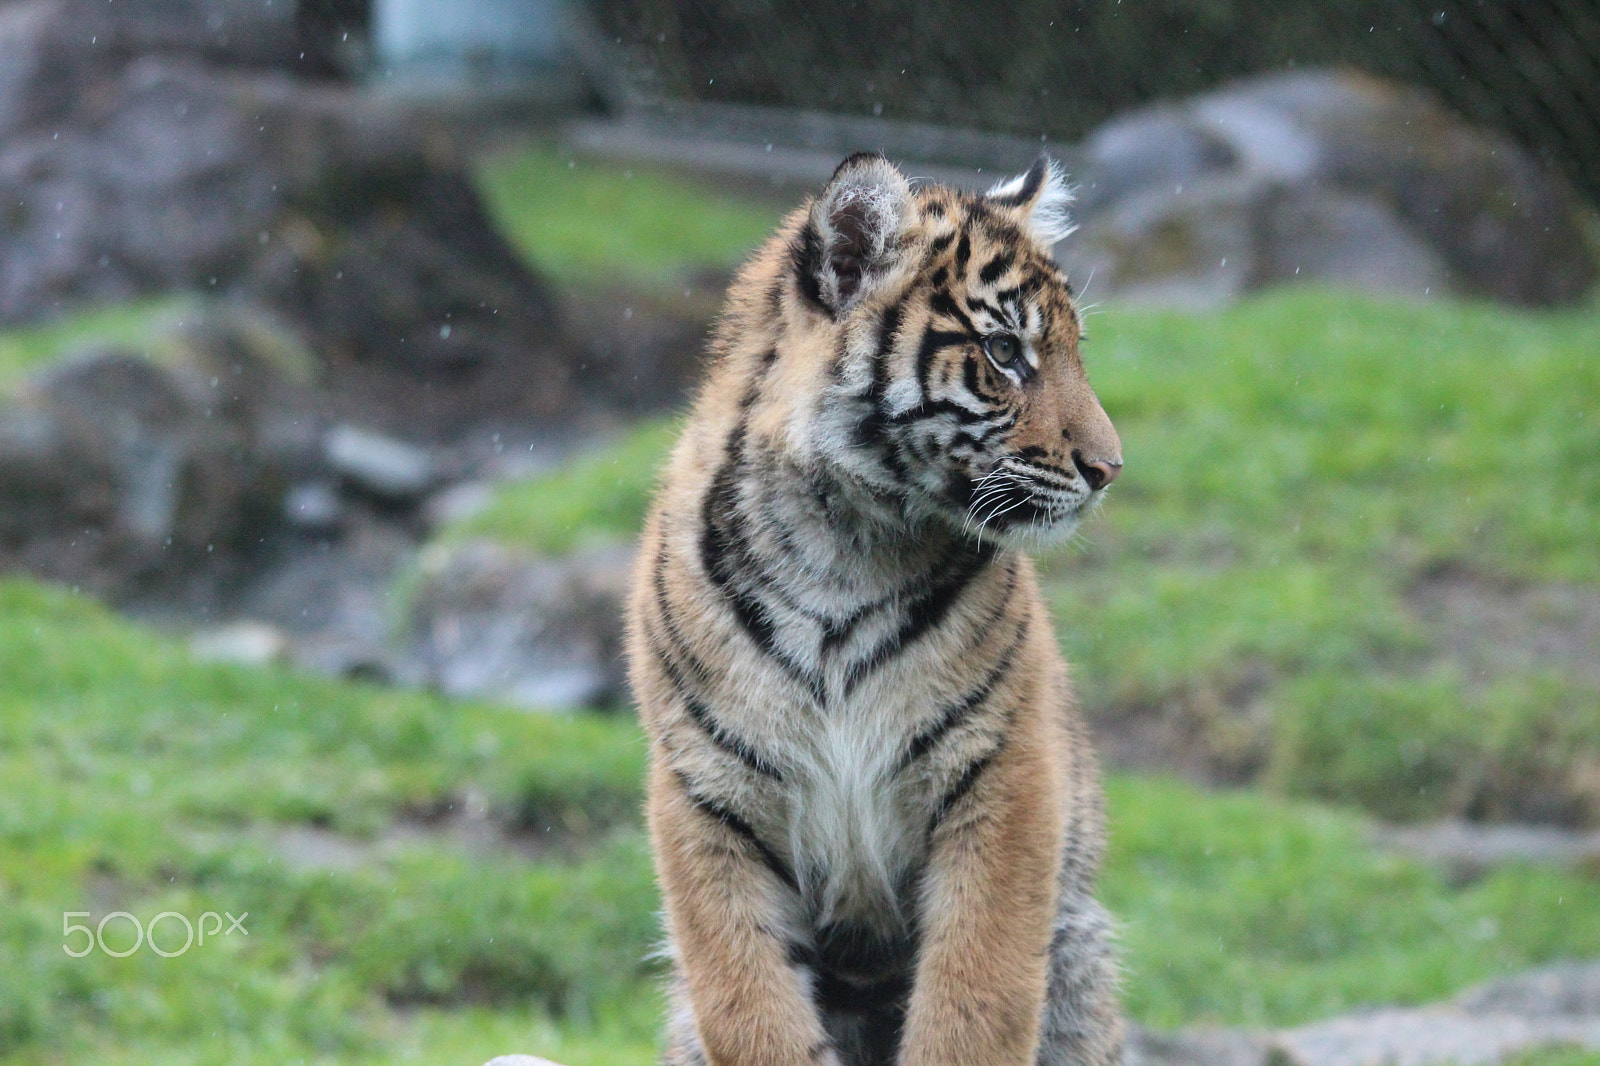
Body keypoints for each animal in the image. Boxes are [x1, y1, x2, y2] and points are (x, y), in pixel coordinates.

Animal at [625, 152, 1124, 1066]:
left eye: (1074, 349)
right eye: (1005, 351)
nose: (1110, 468)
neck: (843, 542)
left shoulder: (1002, 777)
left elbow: (975, 1003)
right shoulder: (706, 795)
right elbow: (750, 1007)